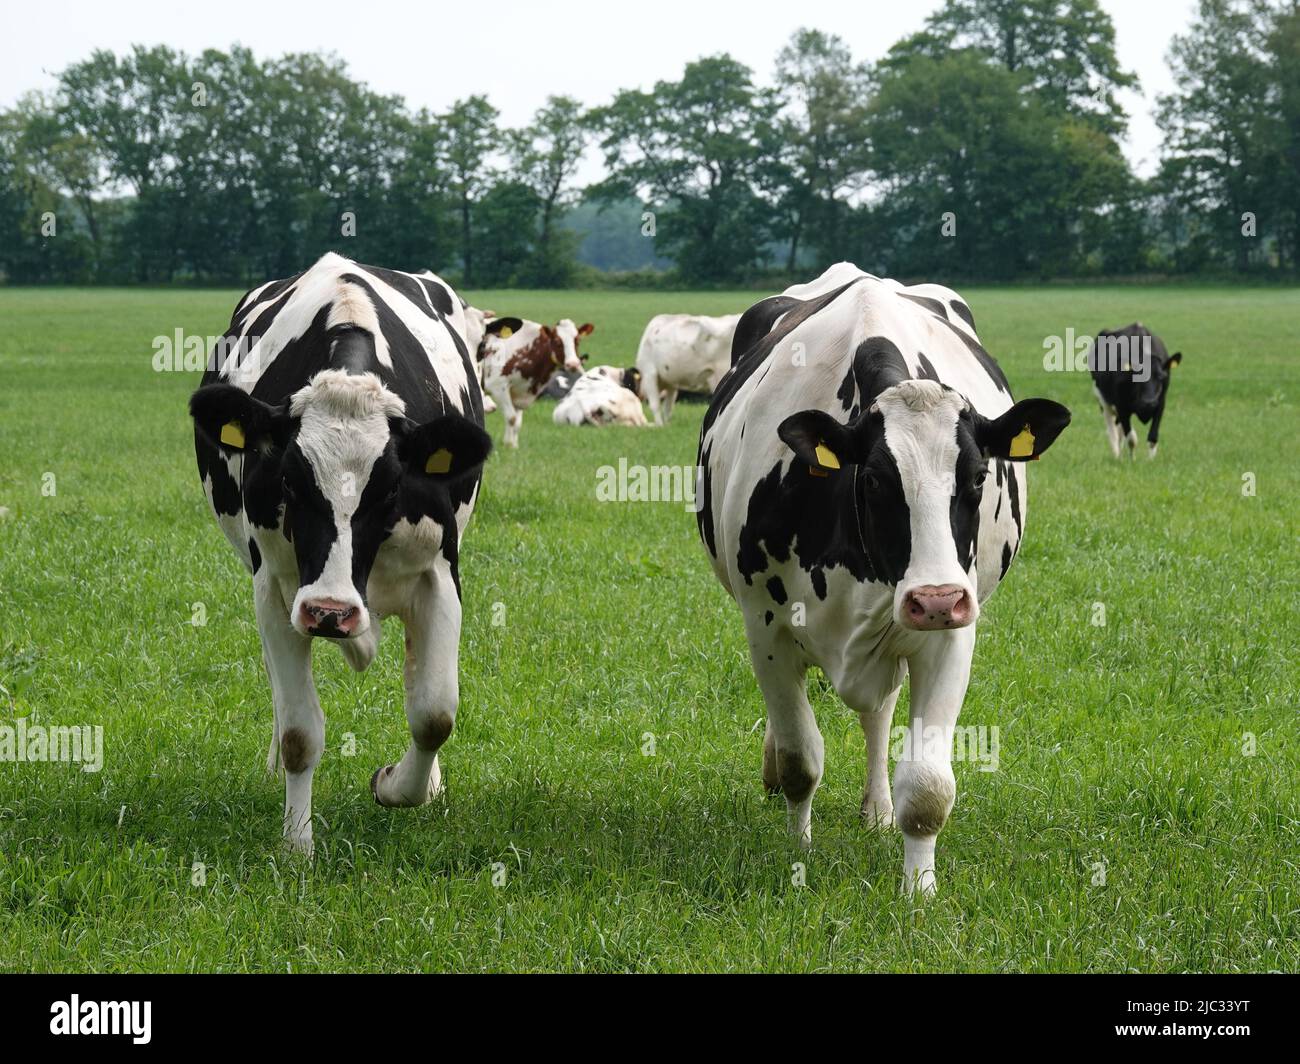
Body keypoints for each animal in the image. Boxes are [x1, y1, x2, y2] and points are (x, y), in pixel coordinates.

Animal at [189, 252, 492, 855]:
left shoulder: (440, 574)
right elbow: (299, 732)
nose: (331, 611)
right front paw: (297, 847)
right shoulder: (276, 589)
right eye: (289, 480)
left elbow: (434, 713)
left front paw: (398, 785)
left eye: (391, 488)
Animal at [478, 318, 592, 447]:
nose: (572, 364)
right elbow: (511, 418)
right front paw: (509, 445)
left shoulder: (519, 392)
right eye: (557, 341)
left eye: (577, 341)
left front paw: (511, 445)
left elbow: (517, 423)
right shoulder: (497, 387)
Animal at [696, 262, 1071, 895]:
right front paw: (798, 852)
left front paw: (918, 890)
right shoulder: (766, 628)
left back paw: (876, 809)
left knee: (878, 713)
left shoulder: (949, 635)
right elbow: (800, 759)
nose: (935, 598)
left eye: (978, 477)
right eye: (873, 480)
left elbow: (928, 784)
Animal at [1087, 323, 1182, 459]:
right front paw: (1132, 460)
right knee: (1112, 431)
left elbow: (1153, 437)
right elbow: (1131, 439)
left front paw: (1150, 460)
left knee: (1119, 431)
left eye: (1161, 376)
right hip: (1104, 402)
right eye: (1137, 377)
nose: (1149, 402)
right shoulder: (1121, 406)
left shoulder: (1160, 404)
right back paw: (1117, 455)